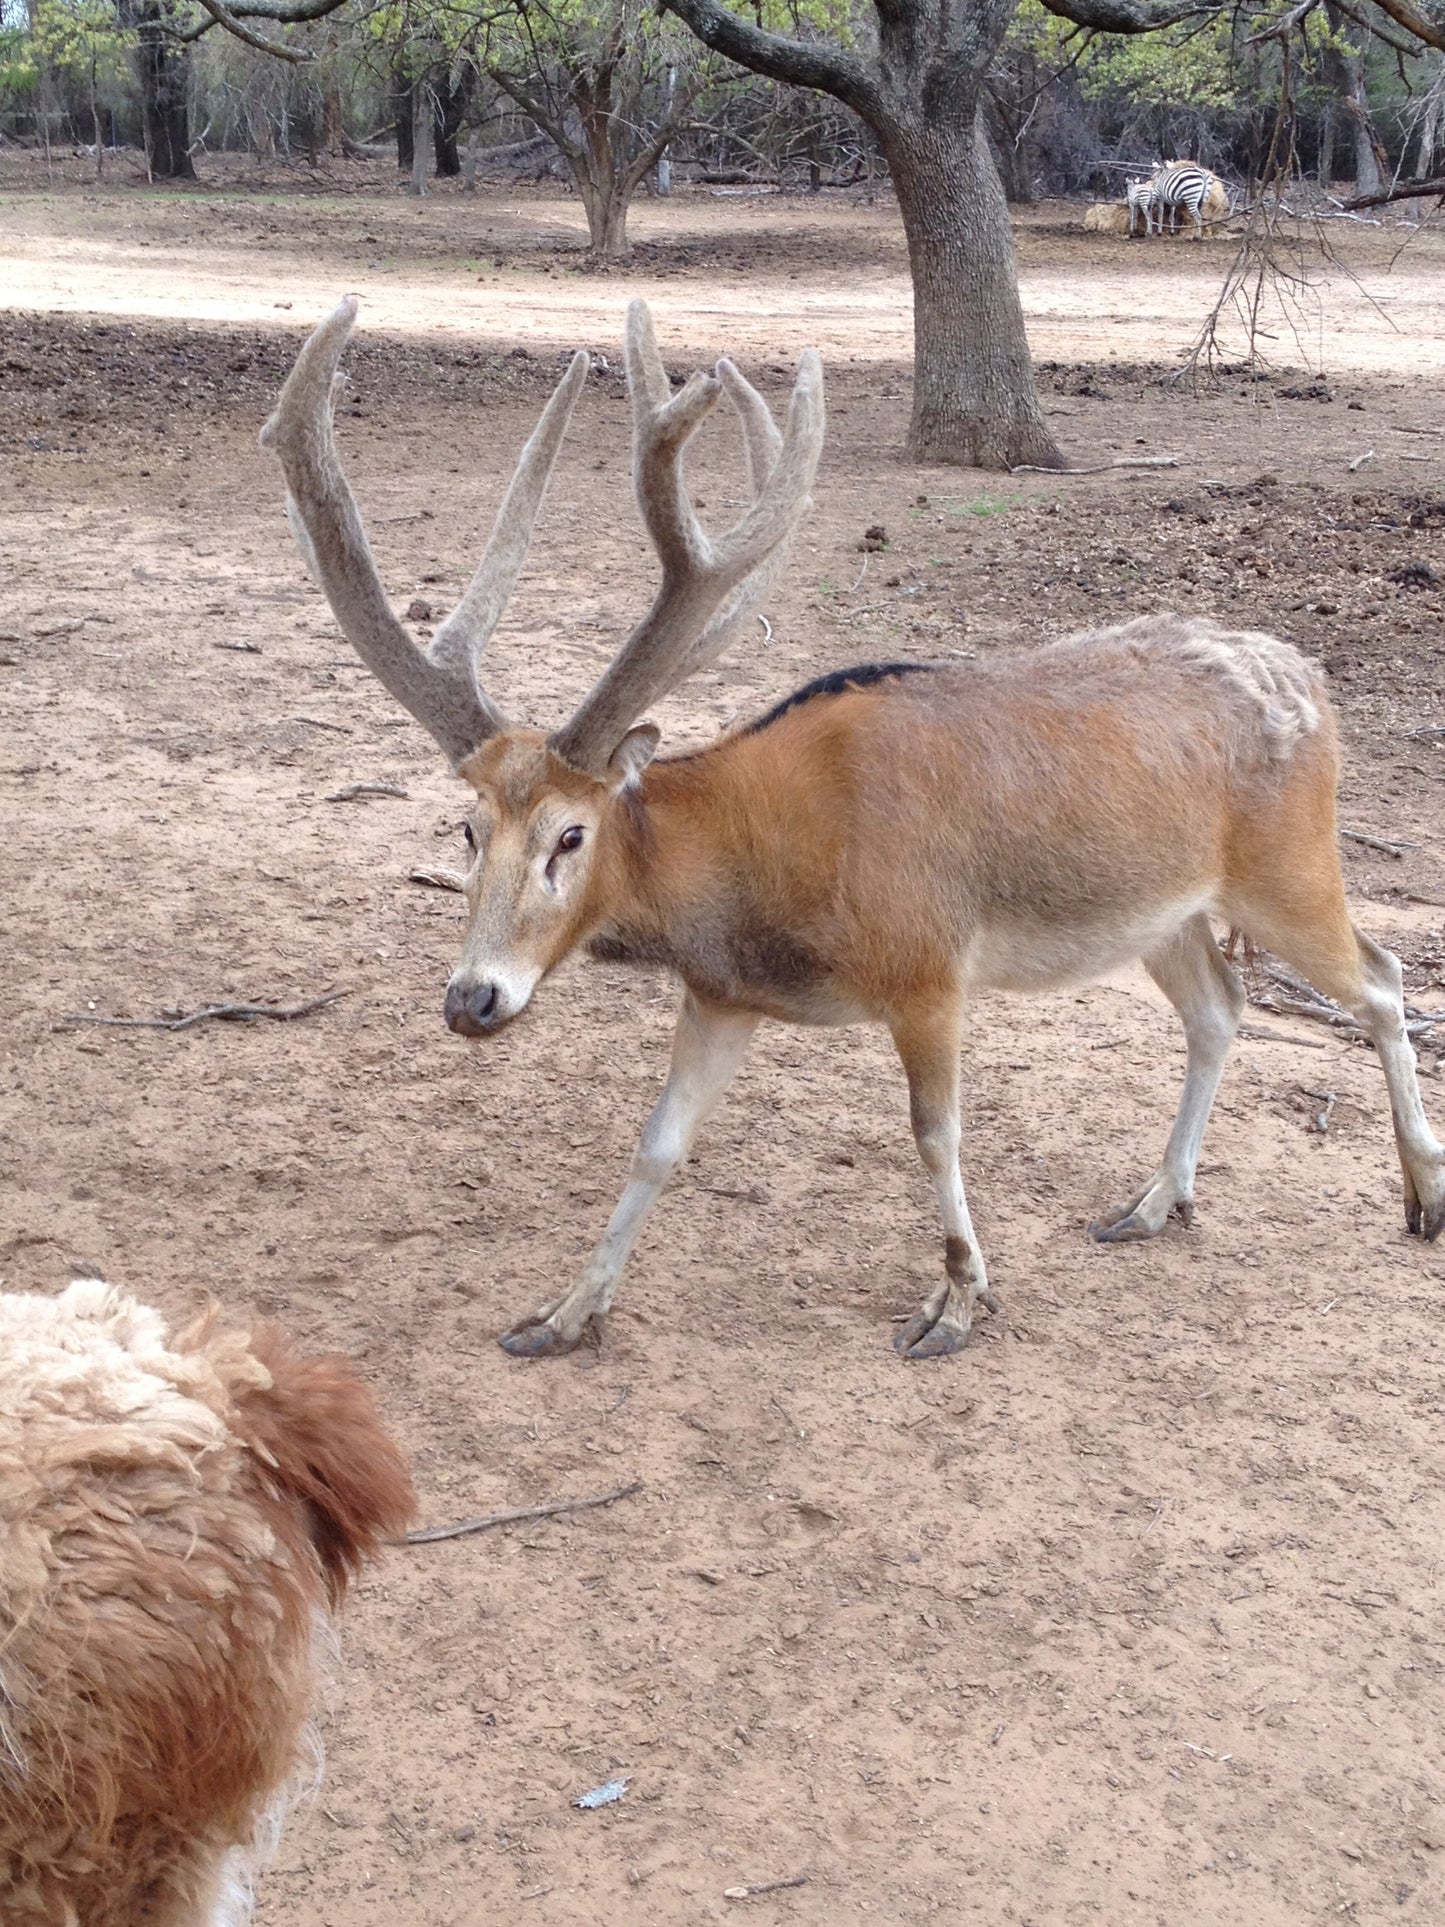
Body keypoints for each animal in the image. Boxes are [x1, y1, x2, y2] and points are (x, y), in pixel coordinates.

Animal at [261, 295, 1445, 1363]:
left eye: (568, 835)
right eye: (467, 832)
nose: (471, 1000)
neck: (769, 874)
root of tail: (1311, 677)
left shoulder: (927, 967)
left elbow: (933, 1132)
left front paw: (956, 1302)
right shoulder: (722, 995)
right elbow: (656, 1144)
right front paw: (561, 1312)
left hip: (1287, 866)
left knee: (1382, 978)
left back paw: (1420, 1195)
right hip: (1164, 913)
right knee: (1221, 1008)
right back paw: (1153, 1200)